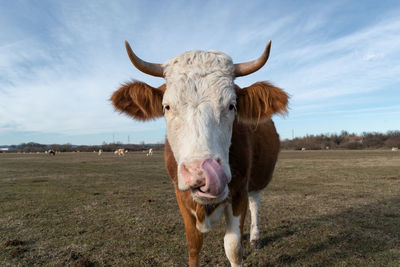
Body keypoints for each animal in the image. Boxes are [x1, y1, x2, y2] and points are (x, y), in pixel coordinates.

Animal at [111, 40, 290, 267]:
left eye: (232, 106)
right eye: (166, 106)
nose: (201, 173)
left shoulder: (239, 192)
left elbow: (233, 248)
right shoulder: (181, 195)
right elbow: (194, 245)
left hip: (259, 177)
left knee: (255, 202)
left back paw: (255, 237)